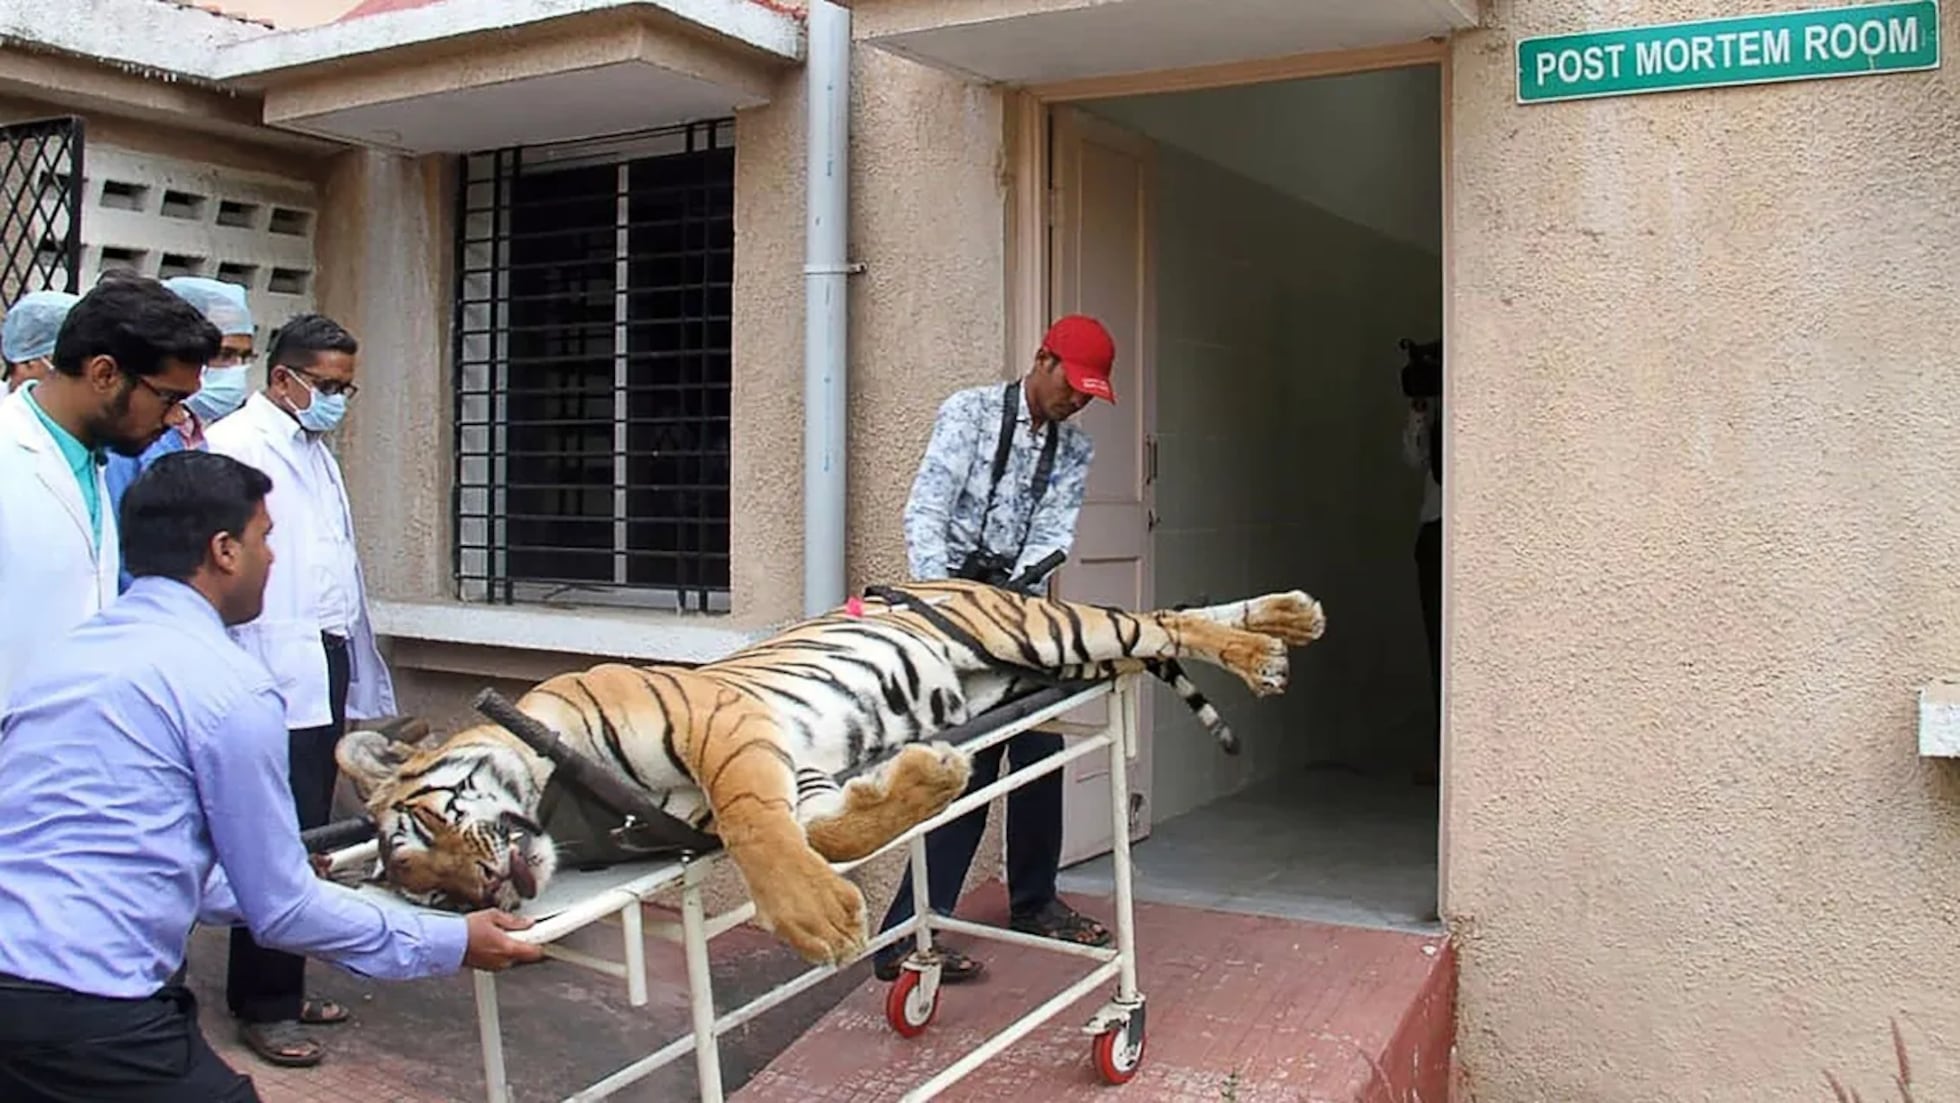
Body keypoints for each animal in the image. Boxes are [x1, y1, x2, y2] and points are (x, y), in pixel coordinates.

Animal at [337, 579, 1324, 967]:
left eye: (422, 827)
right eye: (429, 897)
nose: (482, 898)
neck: (569, 809)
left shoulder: (721, 726)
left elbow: (759, 831)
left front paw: (817, 920)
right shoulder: (790, 774)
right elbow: (835, 828)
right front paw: (924, 779)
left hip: (1040, 630)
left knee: (1157, 619)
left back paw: (1274, 641)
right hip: (1051, 656)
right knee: (1158, 624)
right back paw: (1286, 624)